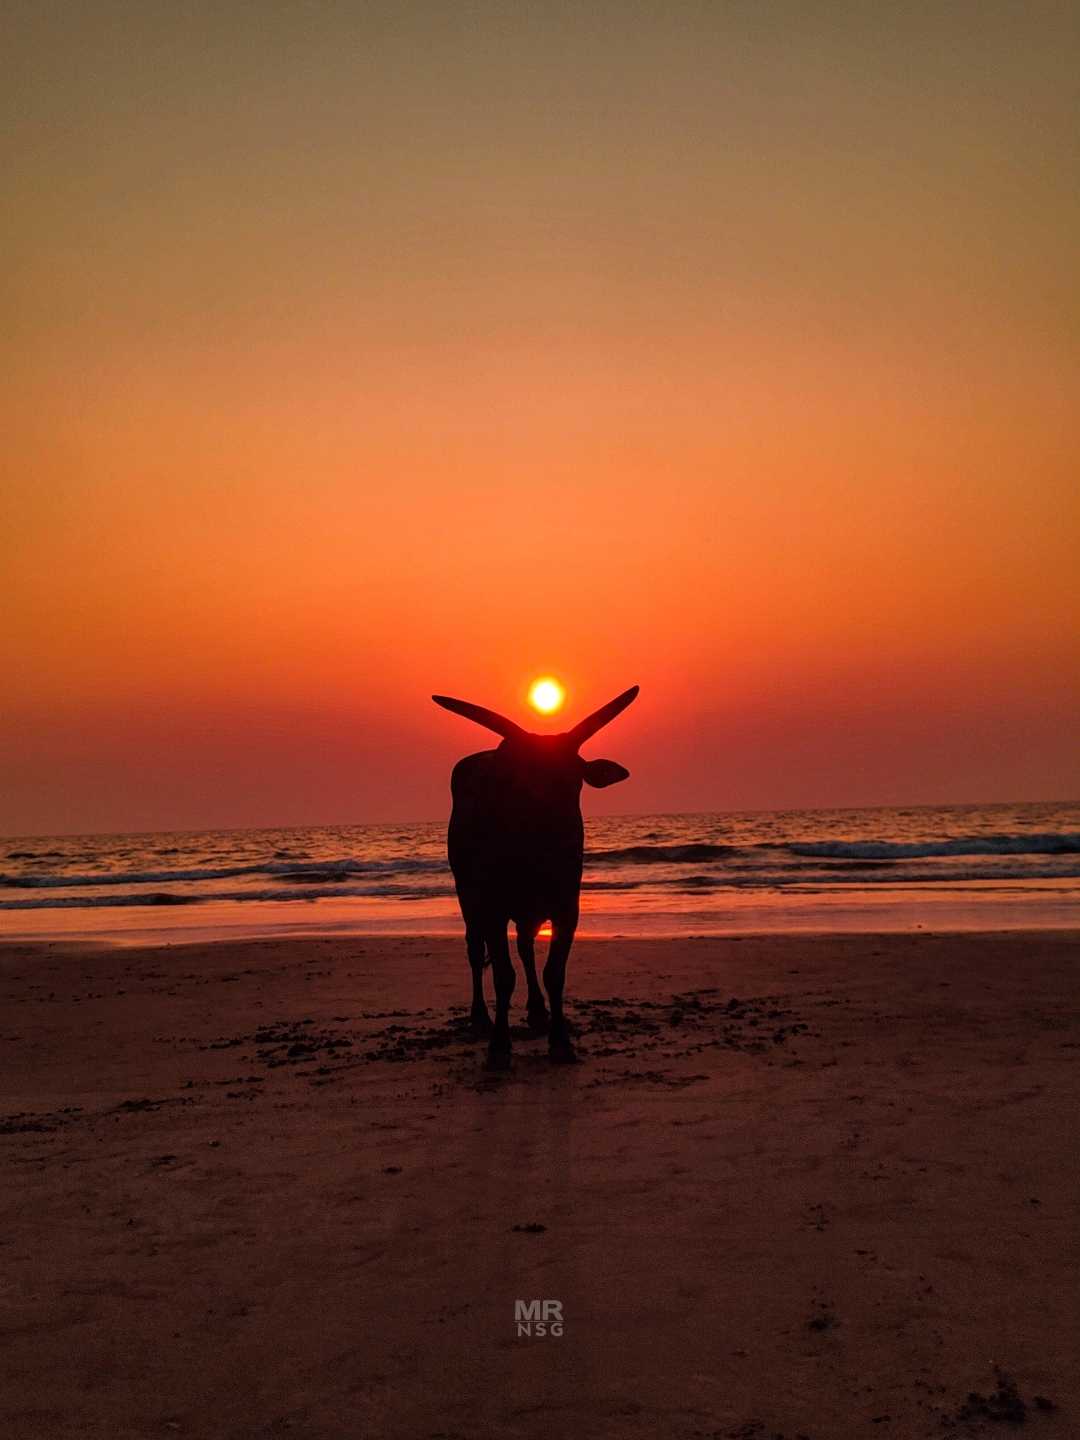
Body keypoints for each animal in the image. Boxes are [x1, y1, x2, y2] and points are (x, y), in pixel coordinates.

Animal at [432, 685, 638, 1068]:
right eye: (525, 781)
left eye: (575, 781)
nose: (559, 835)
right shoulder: (494, 908)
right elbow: (502, 975)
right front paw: (499, 1045)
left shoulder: (567, 908)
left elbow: (553, 972)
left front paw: (560, 1040)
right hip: (467, 896)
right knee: (474, 950)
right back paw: (479, 1017)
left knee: (526, 948)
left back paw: (538, 1010)